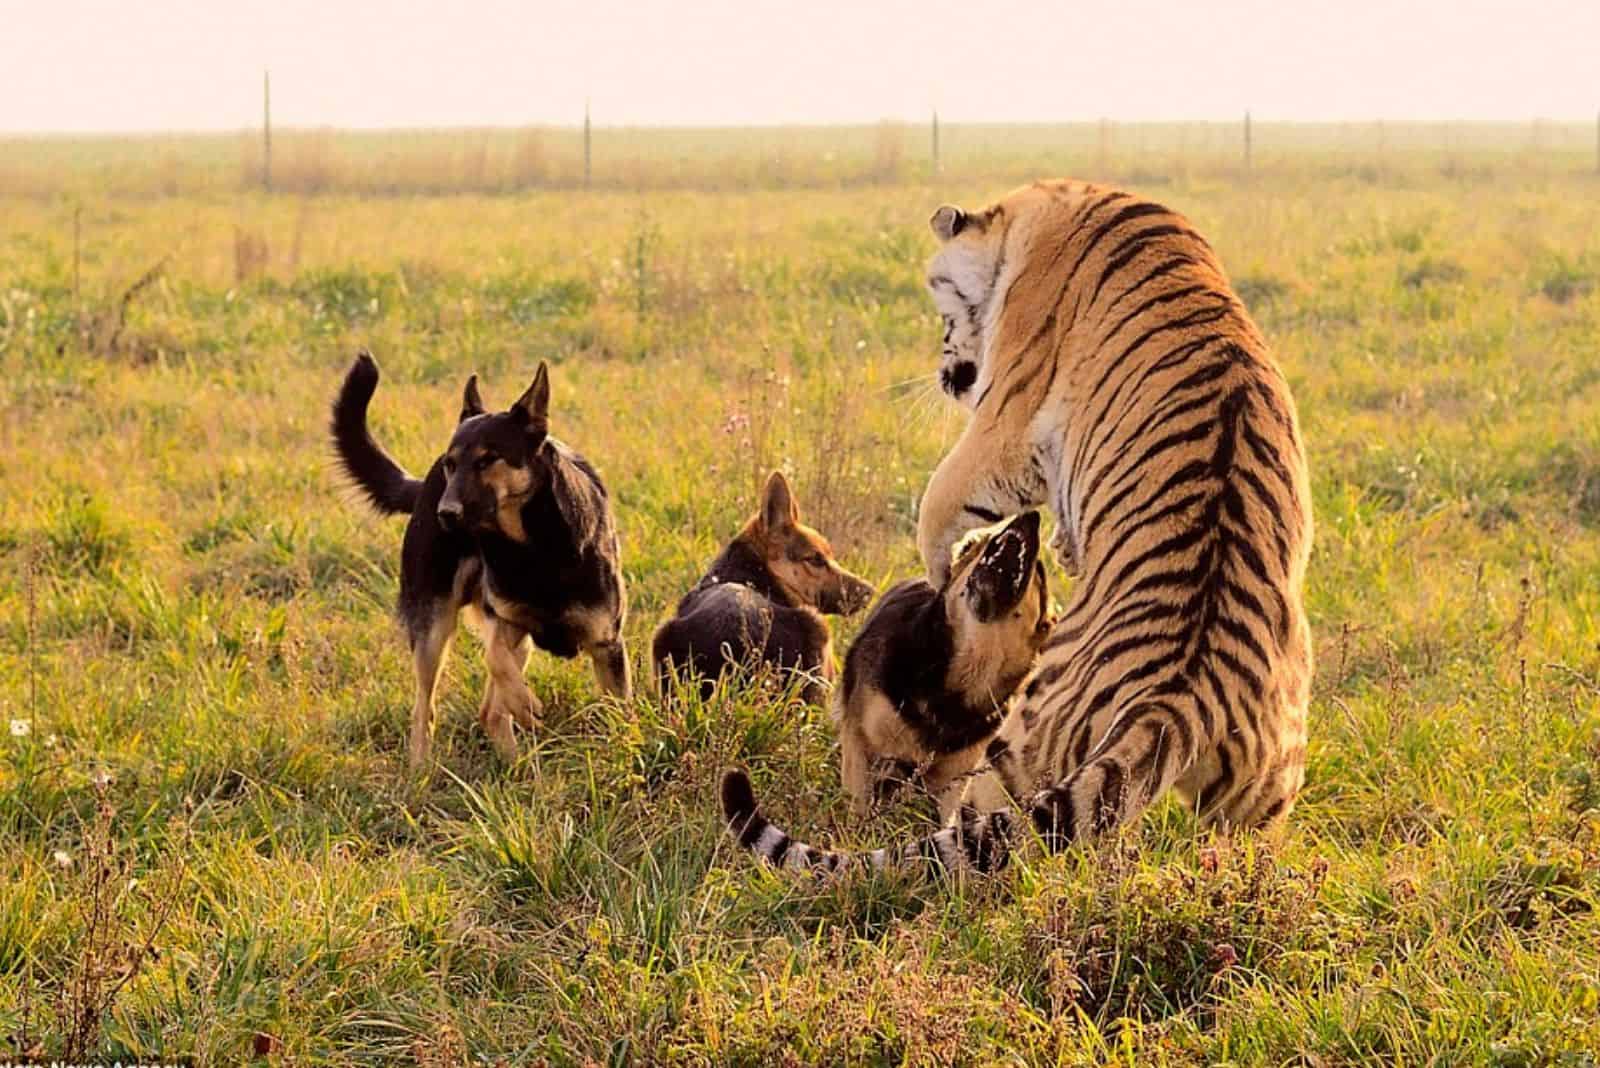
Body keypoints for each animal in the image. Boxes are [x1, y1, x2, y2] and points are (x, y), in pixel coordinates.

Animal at [332, 350, 630, 767]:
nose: (446, 514)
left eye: (489, 460)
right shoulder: (504, 618)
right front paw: (523, 701)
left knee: (488, 711)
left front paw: (626, 751)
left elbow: (620, 713)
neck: (534, 547)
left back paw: (516, 766)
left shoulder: (606, 645)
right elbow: (494, 658)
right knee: (428, 707)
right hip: (433, 623)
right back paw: (423, 768)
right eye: (451, 464)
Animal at [832, 511, 1056, 824]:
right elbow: (859, 805)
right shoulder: (859, 742)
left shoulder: (954, 779)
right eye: (980, 543)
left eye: (1040, 573)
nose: (1030, 516)